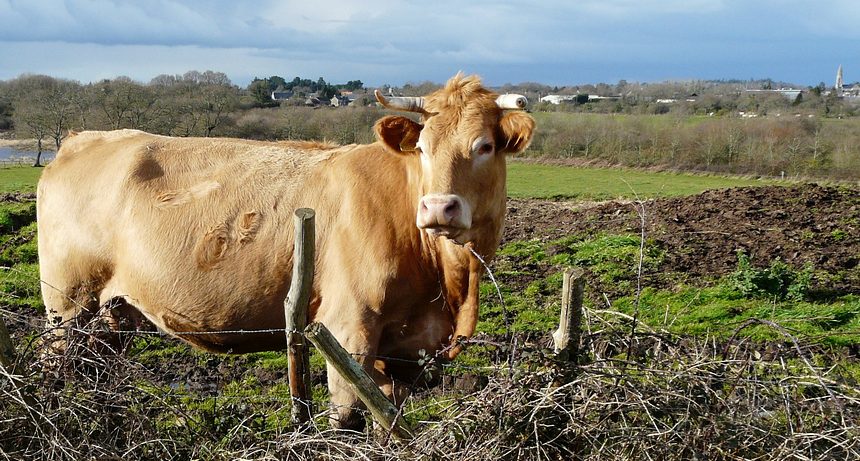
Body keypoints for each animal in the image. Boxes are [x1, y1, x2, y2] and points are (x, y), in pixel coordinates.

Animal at [40, 72, 536, 428]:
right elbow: (348, 417)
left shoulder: (407, 349)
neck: (450, 282)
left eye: (485, 146)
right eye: (423, 148)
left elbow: (388, 417)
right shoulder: (347, 329)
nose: (437, 207)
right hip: (66, 308)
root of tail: (85, 138)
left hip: (112, 314)